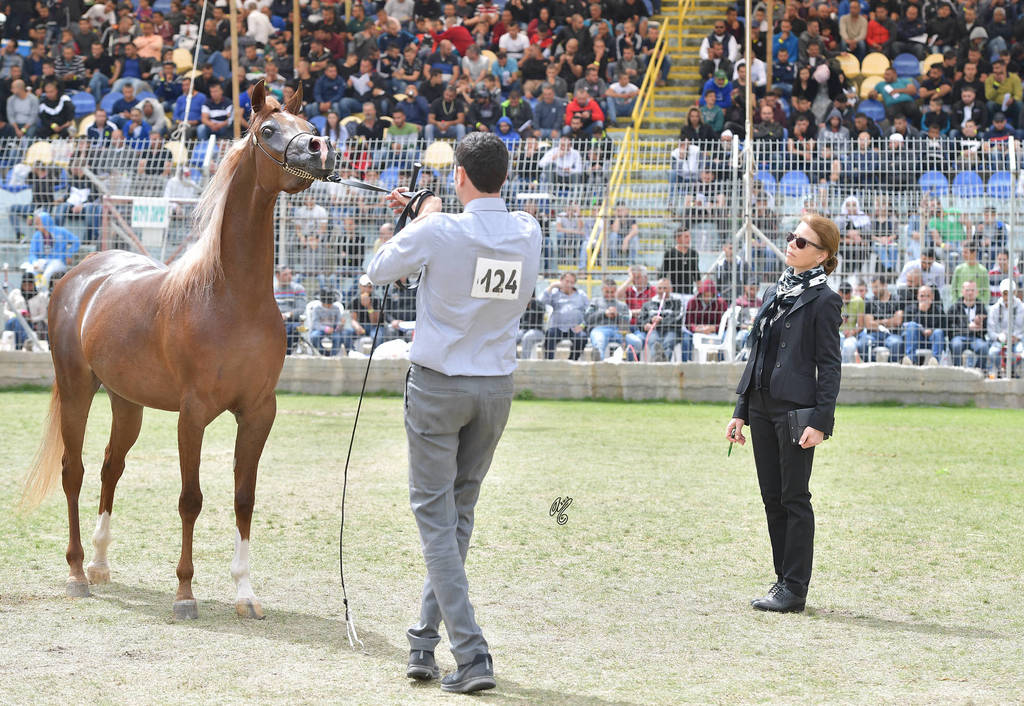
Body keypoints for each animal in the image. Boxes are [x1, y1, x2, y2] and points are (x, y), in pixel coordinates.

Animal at [22, 80, 337, 620]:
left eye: (310, 126)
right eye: (268, 130)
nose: (321, 150)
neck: (231, 296)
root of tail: (80, 276)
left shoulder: (259, 412)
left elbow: (244, 497)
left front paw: (245, 594)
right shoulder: (192, 416)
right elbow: (191, 499)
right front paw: (185, 593)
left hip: (126, 402)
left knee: (110, 468)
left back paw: (101, 564)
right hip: (78, 389)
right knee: (74, 471)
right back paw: (78, 572)